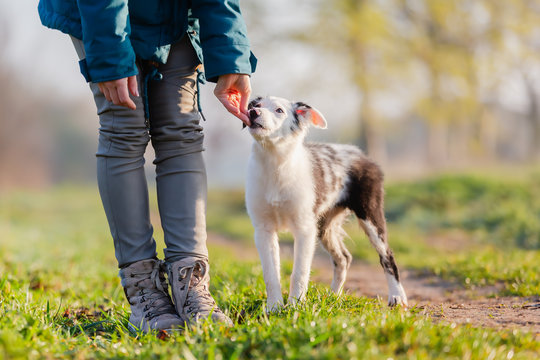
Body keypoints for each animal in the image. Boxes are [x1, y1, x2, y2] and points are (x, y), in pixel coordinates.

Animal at [246, 96, 410, 312]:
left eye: (279, 110)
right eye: (255, 105)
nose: (252, 113)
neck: (275, 164)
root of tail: (361, 154)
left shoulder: (304, 229)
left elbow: (299, 272)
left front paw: (295, 306)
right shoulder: (263, 230)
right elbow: (270, 274)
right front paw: (274, 308)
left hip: (370, 214)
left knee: (387, 256)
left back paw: (397, 296)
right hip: (324, 226)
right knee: (343, 258)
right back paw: (333, 297)